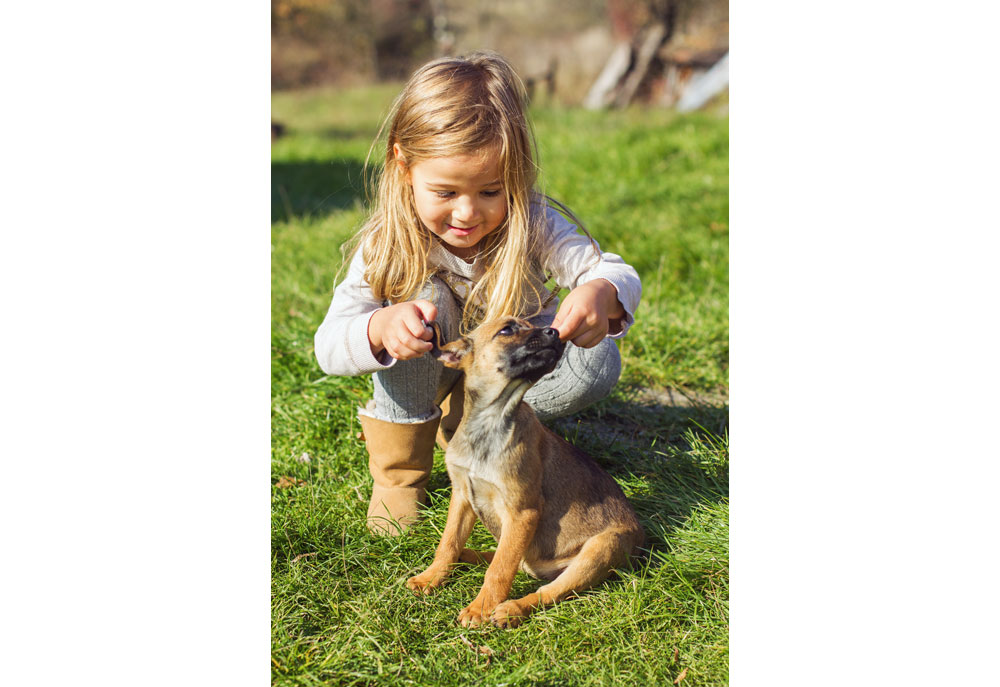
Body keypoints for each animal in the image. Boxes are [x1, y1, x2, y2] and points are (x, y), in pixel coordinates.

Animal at [408, 318, 648, 628]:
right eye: (506, 330)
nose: (555, 331)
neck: (490, 424)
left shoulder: (522, 513)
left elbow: (499, 569)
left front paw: (480, 608)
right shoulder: (462, 496)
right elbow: (448, 544)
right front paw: (431, 577)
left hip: (601, 547)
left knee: (546, 589)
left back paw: (511, 609)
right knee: (507, 560)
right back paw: (466, 556)